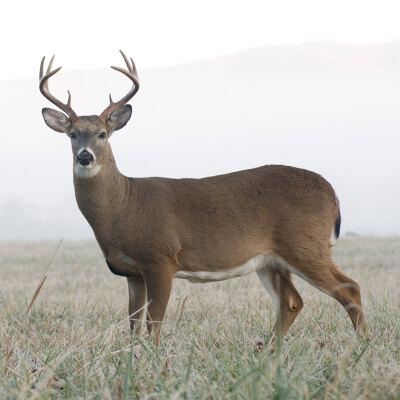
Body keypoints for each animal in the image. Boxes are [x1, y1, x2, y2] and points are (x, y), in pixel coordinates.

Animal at [39, 50, 366, 344]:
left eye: (103, 134)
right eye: (73, 135)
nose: (85, 157)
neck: (123, 206)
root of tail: (332, 193)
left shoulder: (160, 259)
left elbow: (154, 324)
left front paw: (153, 360)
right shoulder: (132, 272)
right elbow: (133, 324)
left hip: (306, 245)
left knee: (350, 288)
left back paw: (361, 345)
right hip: (271, 260)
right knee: (292, 301)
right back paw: (269, 353)